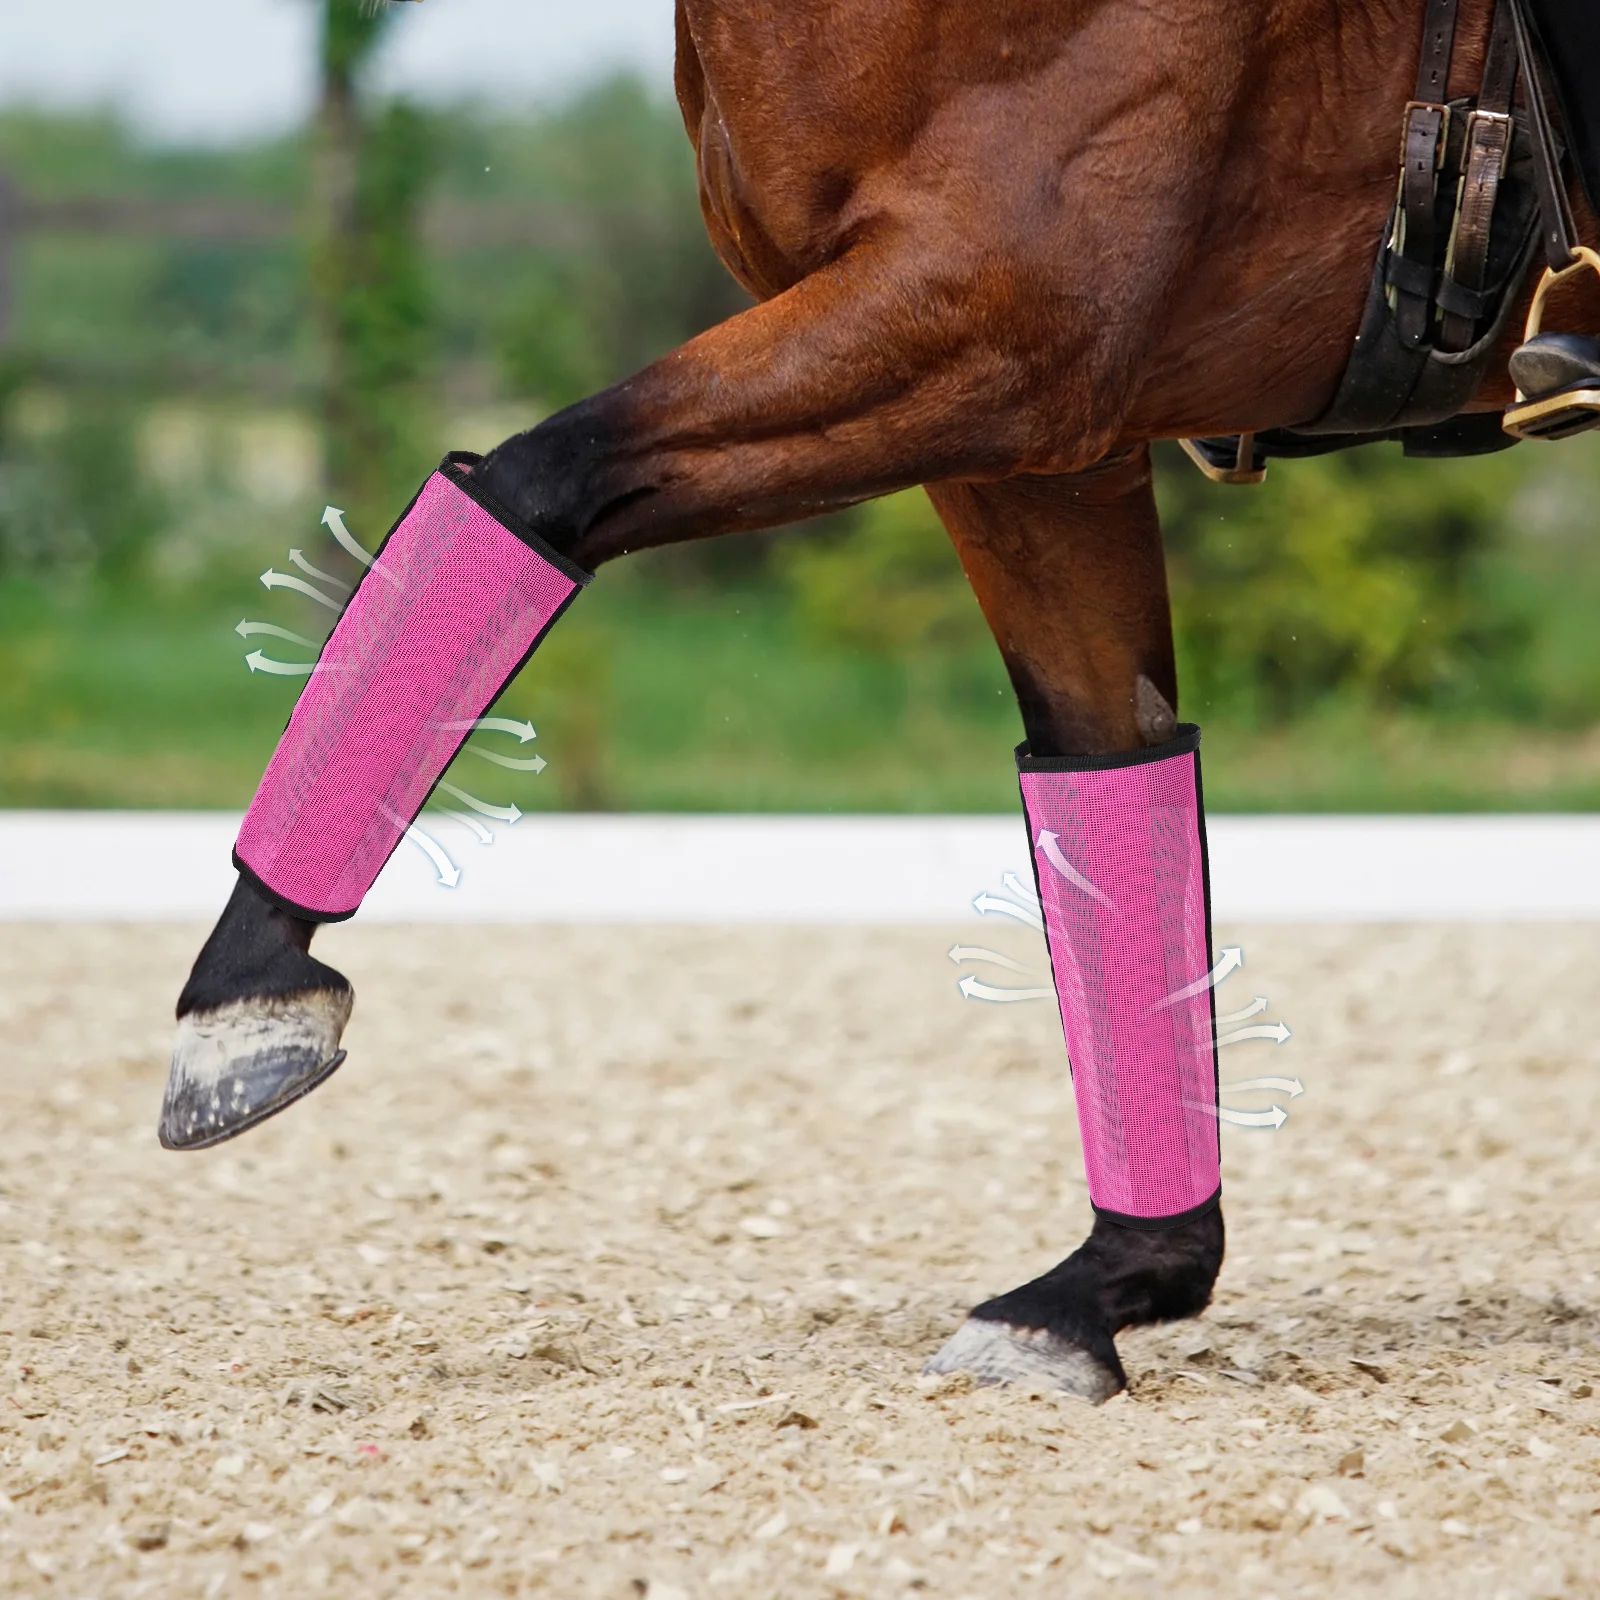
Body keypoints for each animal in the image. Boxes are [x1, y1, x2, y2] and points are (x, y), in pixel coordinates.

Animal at [163, 0, 1600, 1403]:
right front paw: (1108, 1287)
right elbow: (1104, 769)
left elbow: (537, 482)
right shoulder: (1031, 435)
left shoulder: (992, 327)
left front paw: (243, 992)